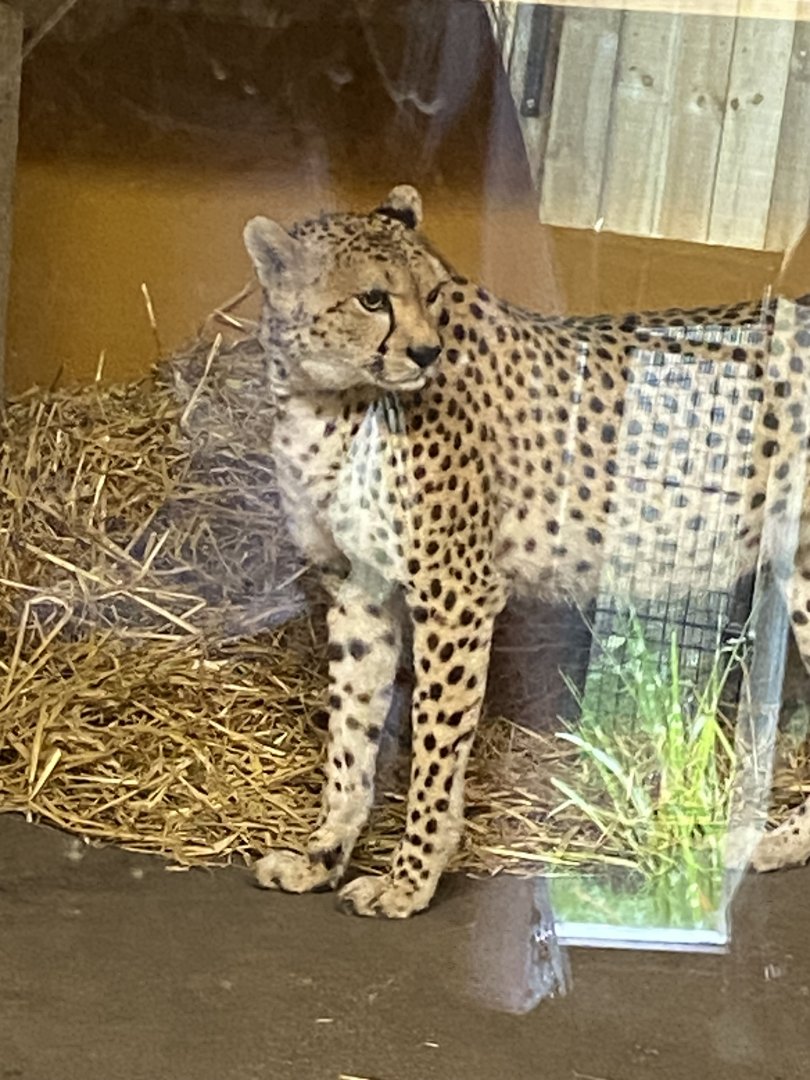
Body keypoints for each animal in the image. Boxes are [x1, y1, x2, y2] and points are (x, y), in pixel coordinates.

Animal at [242, 183, 810, 918]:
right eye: (372, 298)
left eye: (432, 292)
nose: (425, 353)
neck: (330, 398)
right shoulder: (359, 590)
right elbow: (351, 739)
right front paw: (323, 855)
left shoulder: (457, 597)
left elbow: (435, 746)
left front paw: (410, 880)